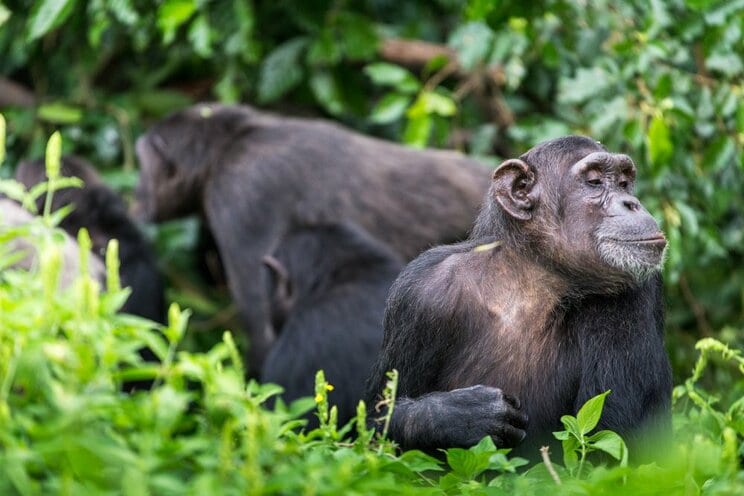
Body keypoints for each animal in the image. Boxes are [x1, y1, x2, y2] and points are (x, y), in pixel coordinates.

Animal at [366, 135, 676, 458]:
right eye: (594, 181)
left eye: (624, 183)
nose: (632, 203)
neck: (529, 280)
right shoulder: (418, 294)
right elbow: (376, 421)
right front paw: (462, 416)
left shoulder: (636, 293)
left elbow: (612, 445)